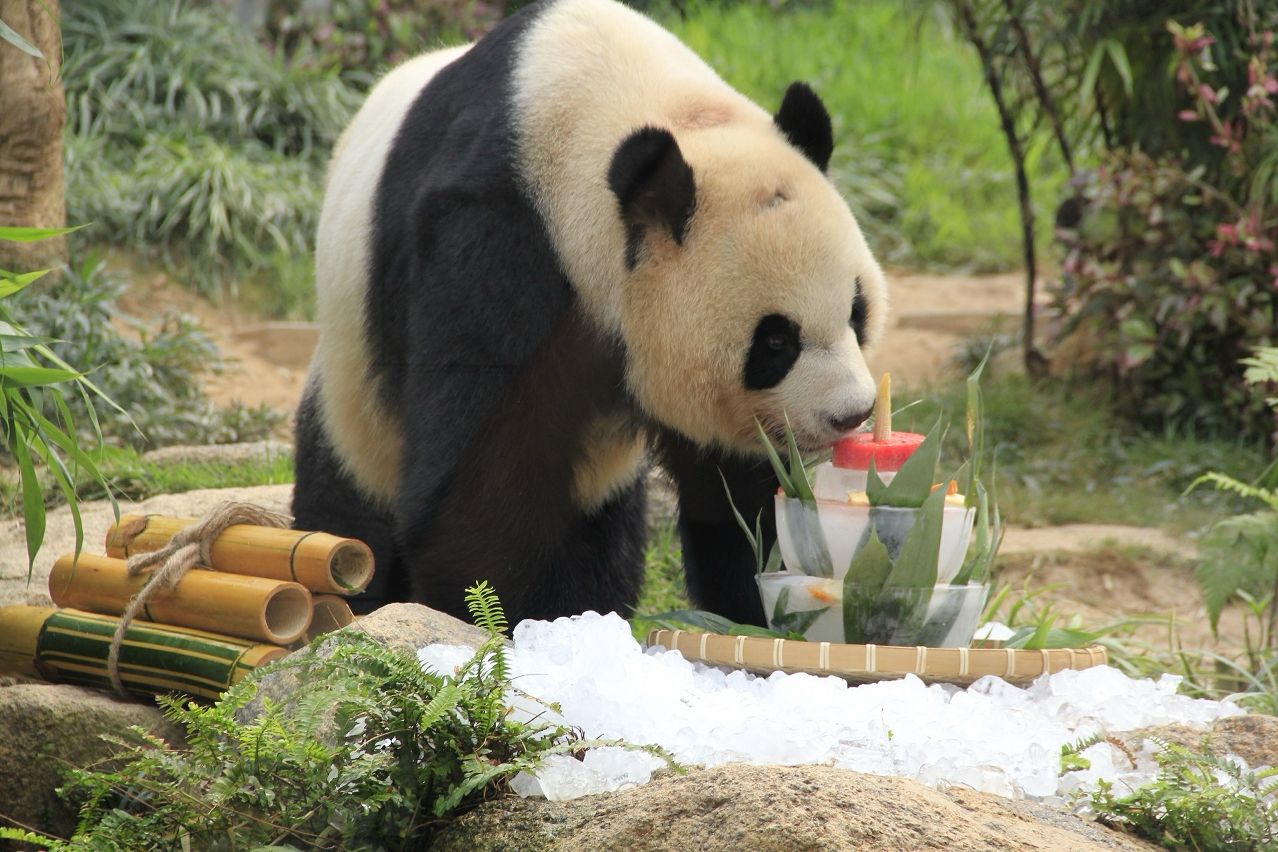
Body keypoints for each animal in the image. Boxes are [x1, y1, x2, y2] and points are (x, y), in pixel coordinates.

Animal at [292, 0, 890, 627]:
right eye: (775, 342)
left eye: (856, 311)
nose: (851, 413)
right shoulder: (492, 240)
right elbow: (477, 477)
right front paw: (501, 619)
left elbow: (740, 489)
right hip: (354, 384)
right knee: (350, 505)